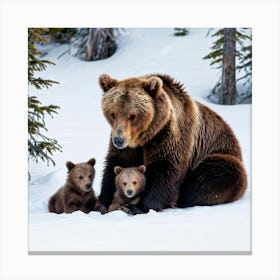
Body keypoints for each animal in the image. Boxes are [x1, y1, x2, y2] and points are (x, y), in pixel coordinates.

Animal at [97, 72, 246, 214]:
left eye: (133, 115)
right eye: (113, 114)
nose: (119, 140)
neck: (146, 136)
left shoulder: (169, 135)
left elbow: (166, 169)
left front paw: (137, 207)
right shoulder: (129, 146)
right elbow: (117, 163)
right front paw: (102, 202)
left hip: (220, 155)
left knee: (216, 173)